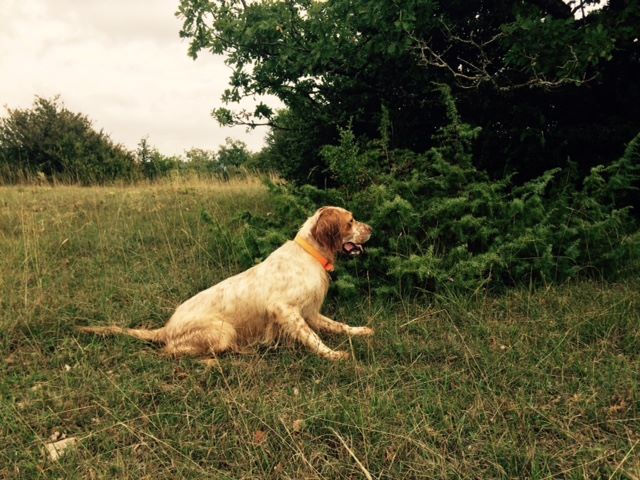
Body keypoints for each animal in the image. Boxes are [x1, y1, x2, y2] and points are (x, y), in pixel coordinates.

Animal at [77, 206, 372, 360]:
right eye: (351, 221)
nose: (371, 229)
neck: (310, 254)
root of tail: (167, 328)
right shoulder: (285, 309)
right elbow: (312, 337)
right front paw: (333, 354)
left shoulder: (309, 311)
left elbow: (338, 325)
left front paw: (360, 331)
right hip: (222, 331)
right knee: (172, 352)